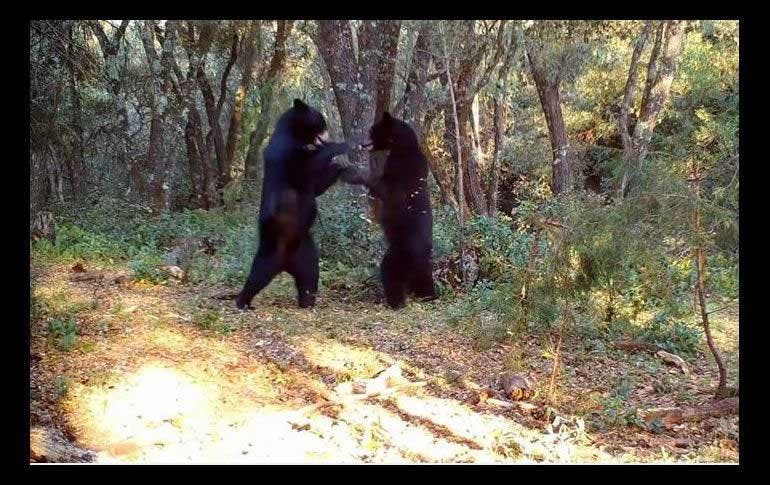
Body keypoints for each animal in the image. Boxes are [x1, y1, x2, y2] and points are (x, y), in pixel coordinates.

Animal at [236, 99, 350, 308]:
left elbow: (316, 186)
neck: (295, 134)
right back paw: (243, 302)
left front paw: (339, 164)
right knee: (257, 274)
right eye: (321, 121)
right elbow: (308, 170)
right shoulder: (287, 153)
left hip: (306, 251)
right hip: (272, 246)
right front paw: (339, 149)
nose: (326, 135)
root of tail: (285, 263)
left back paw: (307, 301)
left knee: (310, 275)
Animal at [340, 112, 436, 308]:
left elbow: (381, 185)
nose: (362, 143)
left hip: (398, 254)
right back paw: (427, 295)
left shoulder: (402, 171)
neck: (402, 148)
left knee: (391, 275)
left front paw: (349, 170)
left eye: (371, 130)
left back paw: (398, 301)